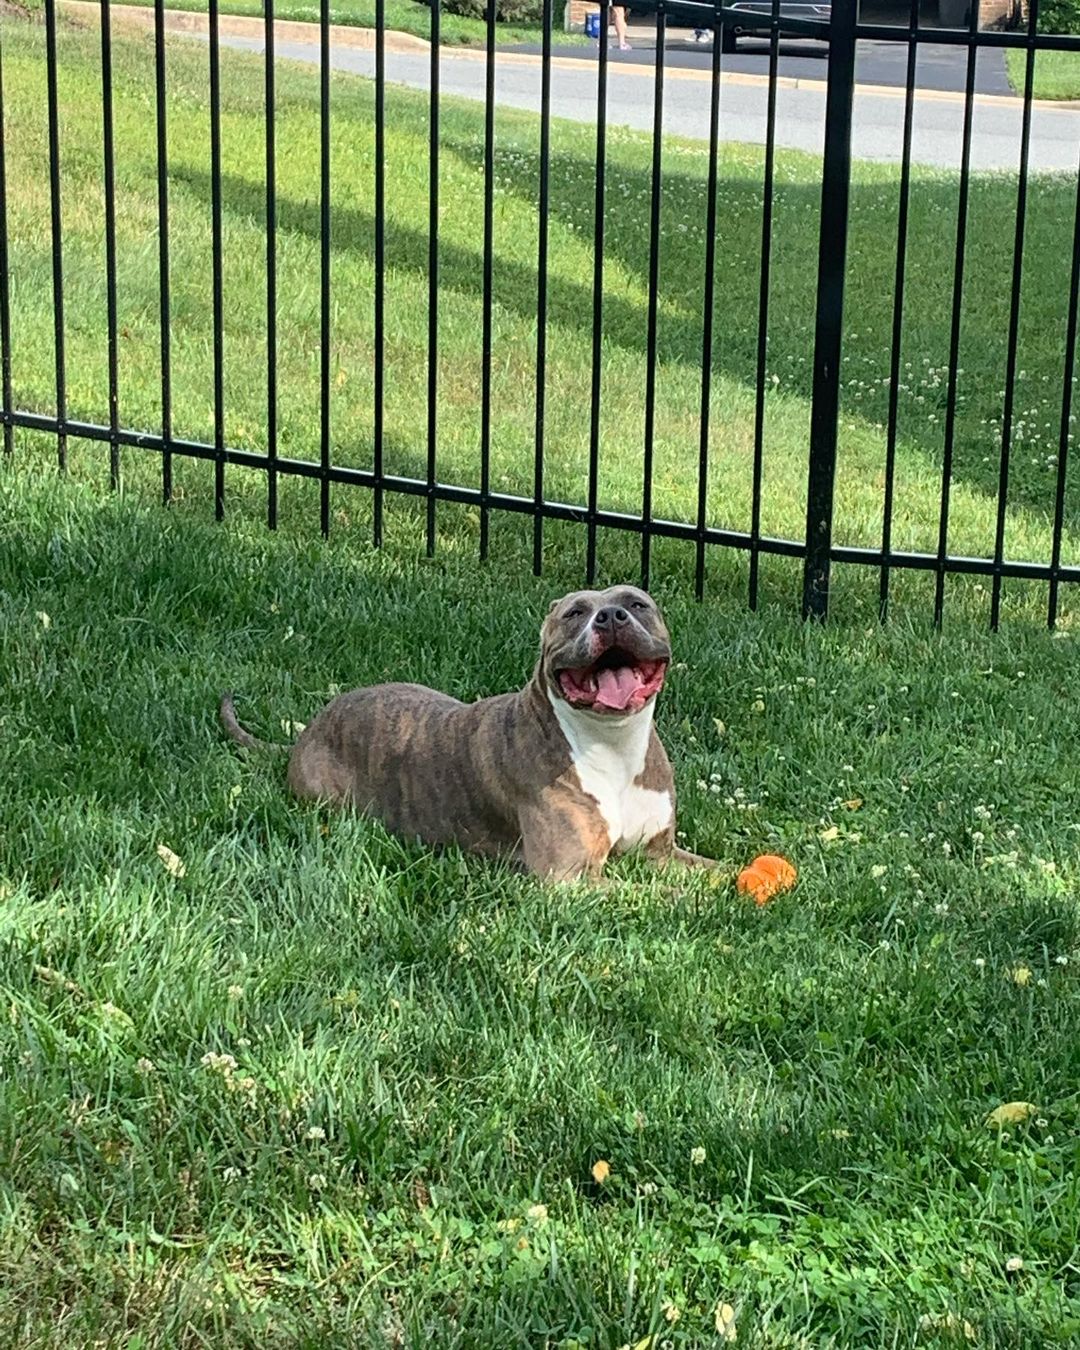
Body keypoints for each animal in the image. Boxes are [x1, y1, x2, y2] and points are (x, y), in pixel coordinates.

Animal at [220, 585, 712, 880]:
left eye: (637, 604)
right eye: (574, 613)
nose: (610, 616)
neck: (612, 743)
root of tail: (308, 731)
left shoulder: (661, 851)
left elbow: (713, 872)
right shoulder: (569, 876)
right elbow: (665, 898)